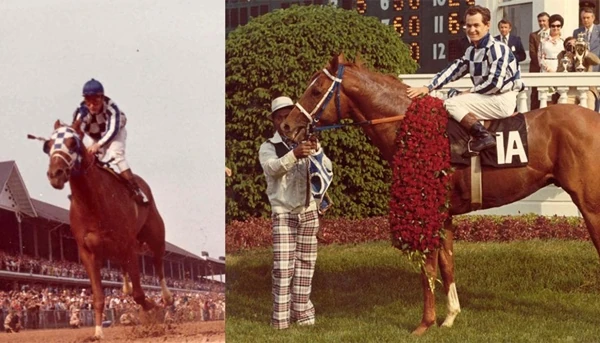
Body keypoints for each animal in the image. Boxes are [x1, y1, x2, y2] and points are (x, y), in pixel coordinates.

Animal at [408, 5, 524, 155]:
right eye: (469, 25)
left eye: (476, 25)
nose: (471, 31)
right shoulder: (467, 56)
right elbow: (456, 66)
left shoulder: (498, 54)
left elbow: (494, 81)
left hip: (497, 105)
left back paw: (486, 141)